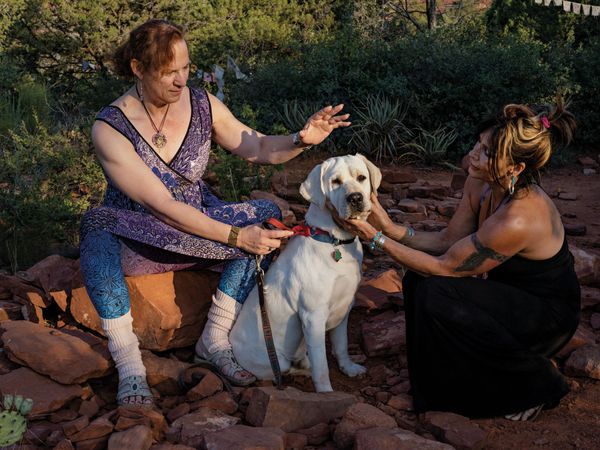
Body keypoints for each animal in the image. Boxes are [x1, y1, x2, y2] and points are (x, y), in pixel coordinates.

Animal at [227, 154, 382, 390]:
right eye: (335, 182)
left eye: (361, 177)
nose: (355, 198)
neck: (334, 241)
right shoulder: (313, 316)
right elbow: (322, 366)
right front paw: (326, 393)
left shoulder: (345, 305)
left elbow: (341, 345)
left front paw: (349, 368)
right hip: (275, 360)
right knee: (285, 369)